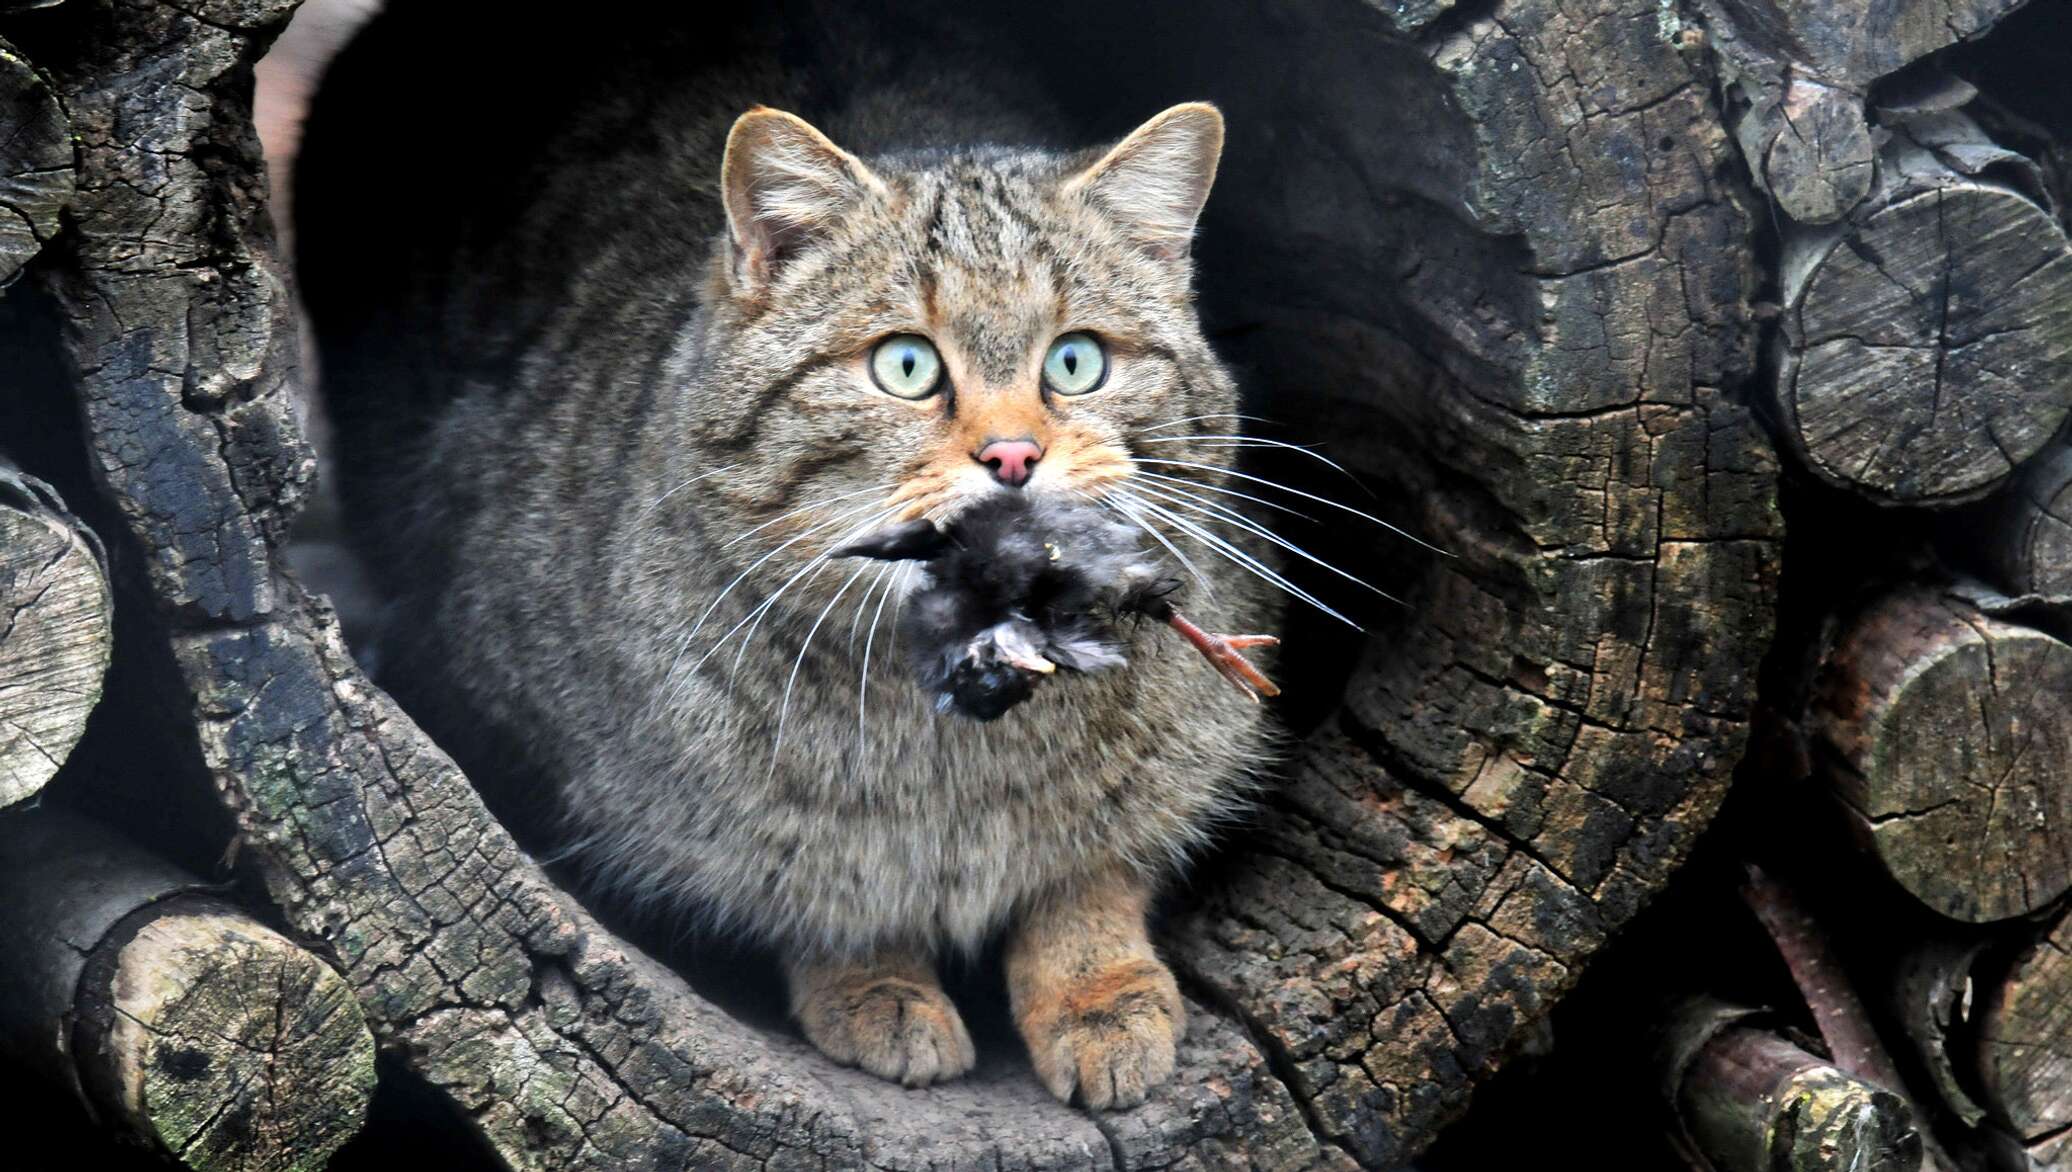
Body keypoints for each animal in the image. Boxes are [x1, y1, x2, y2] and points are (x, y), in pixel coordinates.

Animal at [302, 20, 1276, 1109]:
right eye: (906, 365)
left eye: (1076, 361)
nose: (1014, 456)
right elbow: (816, 882)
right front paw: (875, 983)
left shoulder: (1188, 743)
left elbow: (1092, 871)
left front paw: (1098, 993)